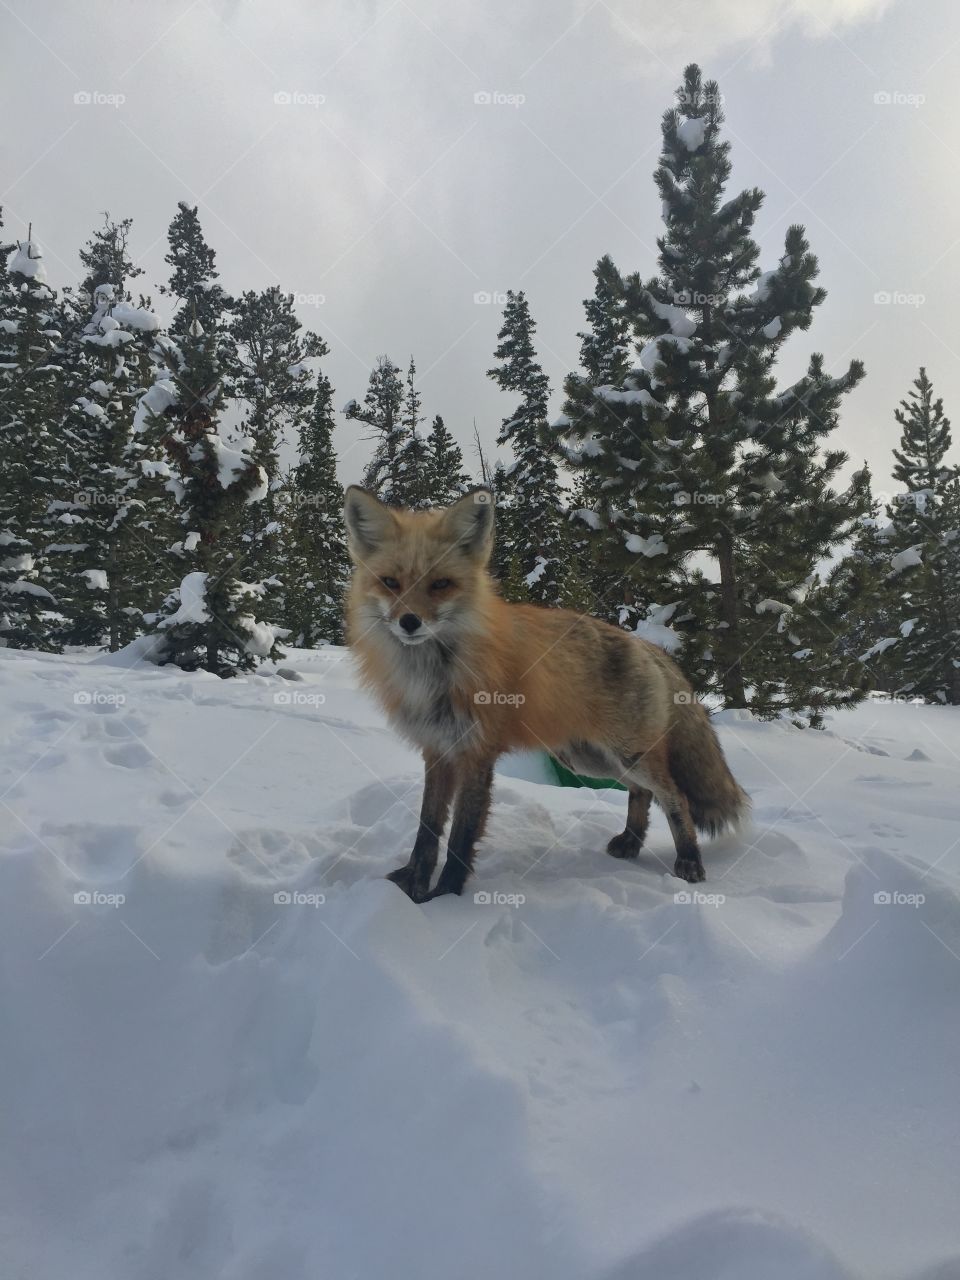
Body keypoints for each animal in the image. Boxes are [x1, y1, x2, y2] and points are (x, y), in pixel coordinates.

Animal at [343, 484, 748, 903]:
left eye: (440, 584)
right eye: (390, 582)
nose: (409, 622)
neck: (433, 674)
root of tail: (648, 646)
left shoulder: (476, 753)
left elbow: (460, 837)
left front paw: (446, 898)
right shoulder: (437, 749)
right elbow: (427, 829)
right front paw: (413, 886)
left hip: (626, 755)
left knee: (674, 796)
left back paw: (689, 860)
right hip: (591, 759)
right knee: (642, 792)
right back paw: (630, 842)